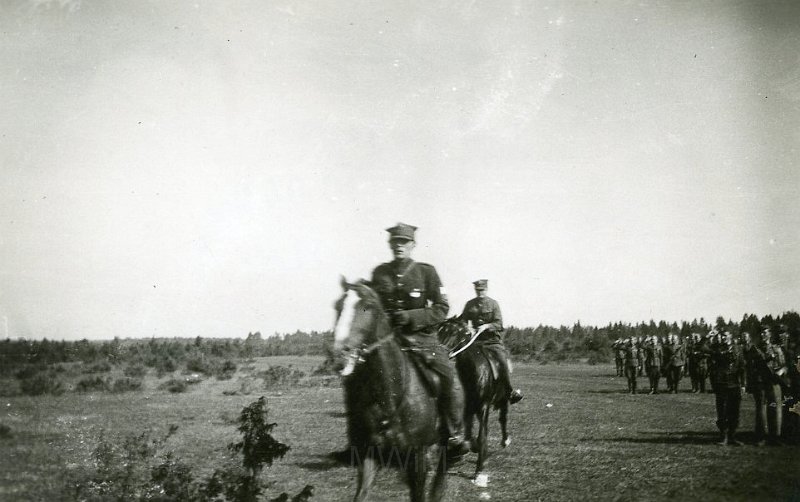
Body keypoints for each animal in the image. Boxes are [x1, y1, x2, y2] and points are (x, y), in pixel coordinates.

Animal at [332, 280, 450, 500]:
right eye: (337, 306)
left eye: (367, 306)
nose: (338, 355)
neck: (389, 397)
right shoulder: (369, 453)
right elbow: (361, 493)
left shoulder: (417, 455)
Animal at [438, 318, 512, 486]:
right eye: (440, 331)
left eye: (453, 332)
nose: (437, 354)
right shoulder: (466, 408)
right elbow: (465, 434)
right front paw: (465, 449)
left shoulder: (483, 407)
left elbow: (481, 436)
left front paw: (479, 471)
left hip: (503, 398)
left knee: (503, 418)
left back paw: (505, 440)